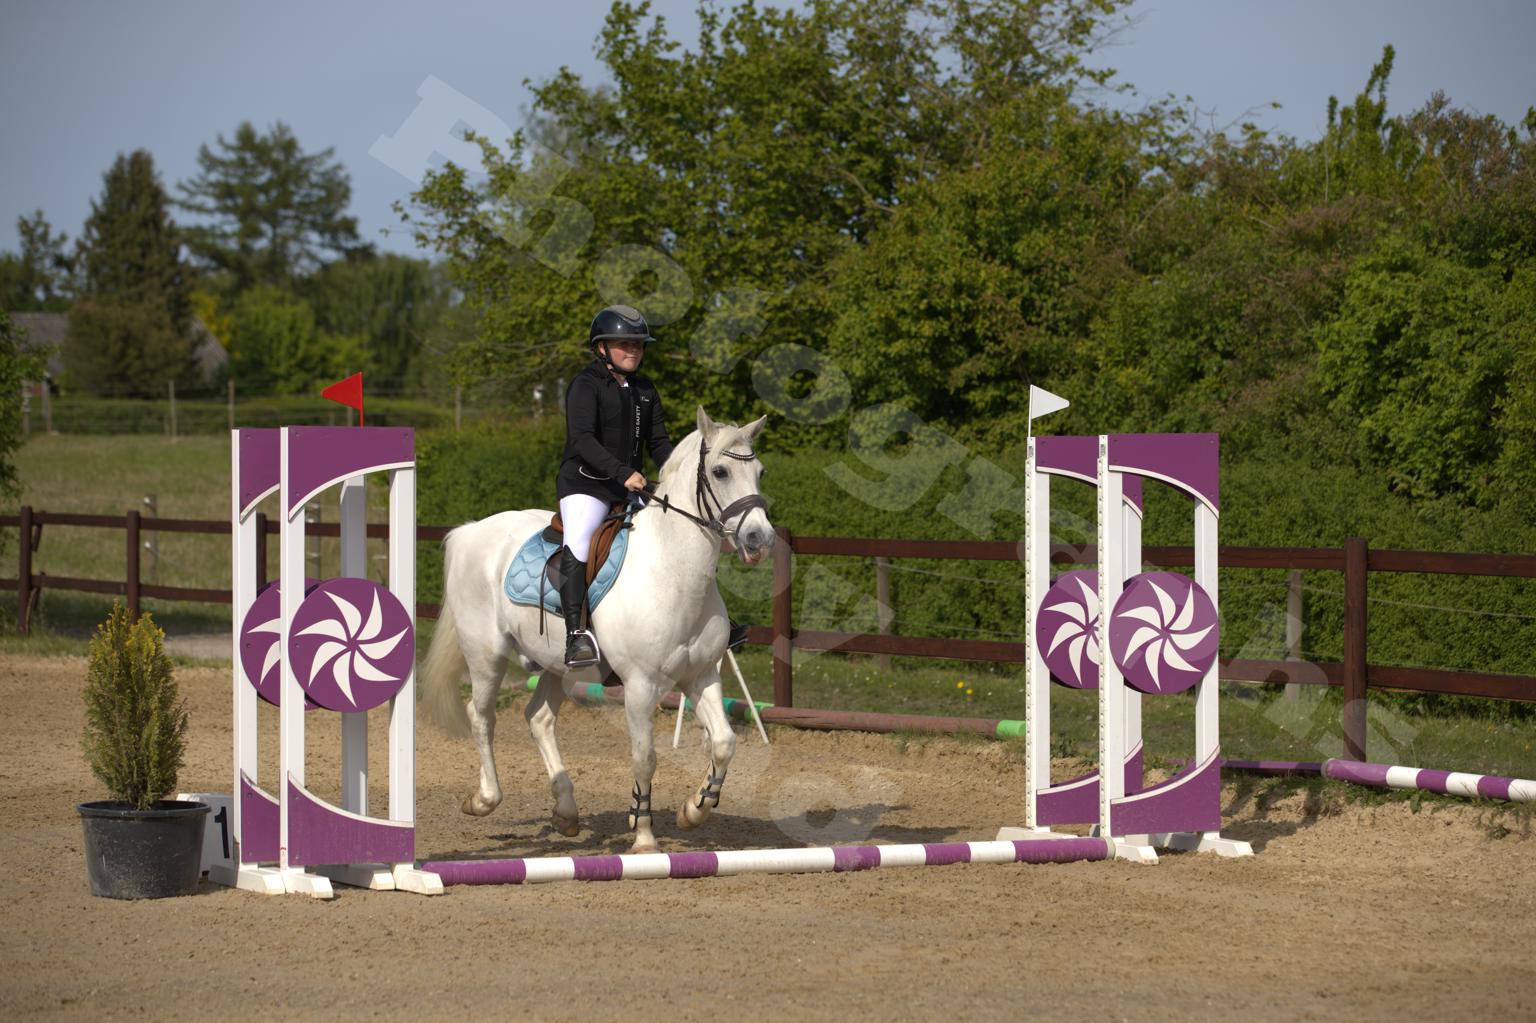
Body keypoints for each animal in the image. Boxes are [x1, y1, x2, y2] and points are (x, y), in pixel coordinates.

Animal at [419, 407, 774, 854]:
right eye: (720, 471)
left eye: (760, 473)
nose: (760, 539)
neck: (671, 570)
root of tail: (468, 531)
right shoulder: (639, 686)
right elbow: (645, 756)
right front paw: (644, 837)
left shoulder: (701, 674)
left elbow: (725, 743)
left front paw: (694, 809)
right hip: (487, 654)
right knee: (481, 717)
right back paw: (484, 800)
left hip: (557, 665)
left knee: (538, 718)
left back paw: (566, 813)